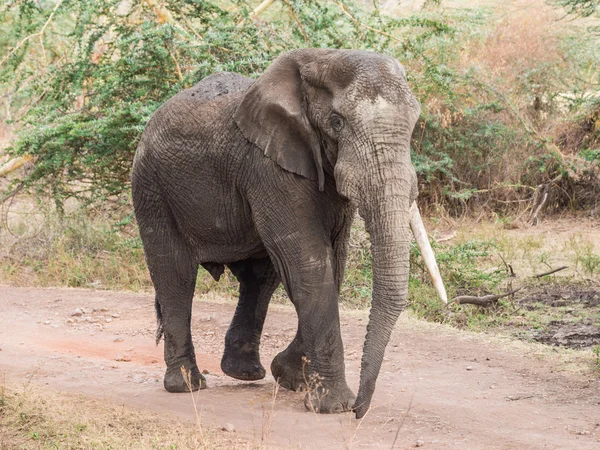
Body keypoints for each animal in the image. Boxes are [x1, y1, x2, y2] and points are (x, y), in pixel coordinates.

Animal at [132, 49, 450, 418]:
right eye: (337, 122)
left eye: (413, 124)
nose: (360, 410)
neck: (322, 59)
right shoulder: (269, 169)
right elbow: (309, 264)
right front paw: (333, 406)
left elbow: (333, 263)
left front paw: (291, 379)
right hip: (151, 188)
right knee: (176, 276)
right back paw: (187, 385)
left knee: (260, 277)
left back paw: (244, 374)